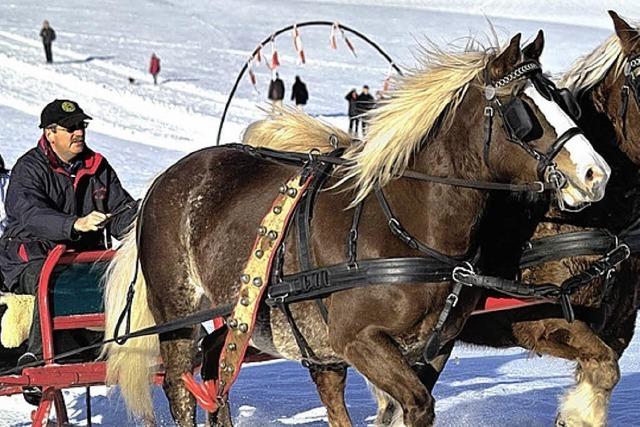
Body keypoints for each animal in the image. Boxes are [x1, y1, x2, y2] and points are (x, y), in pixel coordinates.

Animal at [104, 30, 608, 427]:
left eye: (561, 98)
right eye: (523, 111)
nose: (596, 174)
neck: (408, 227)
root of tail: (164, 180)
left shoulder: (433, 347)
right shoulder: (358, 340)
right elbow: (416, 406)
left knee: (216, 367)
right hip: (178, 313)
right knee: (180, 386)